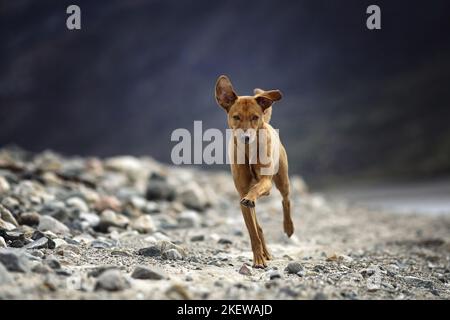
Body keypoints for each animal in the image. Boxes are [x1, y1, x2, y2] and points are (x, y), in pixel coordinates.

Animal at [215, 75, 296, 268]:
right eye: (236, 117)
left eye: (255, 117)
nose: (246, 137)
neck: (249, 151)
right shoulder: (241, 195)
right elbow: (253, 233)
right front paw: (259, 258)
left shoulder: (265, 182)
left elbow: (257, 189)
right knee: (258, 227)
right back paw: (266, 252)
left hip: (282, 179)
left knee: (286, 199)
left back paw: (288, 227)